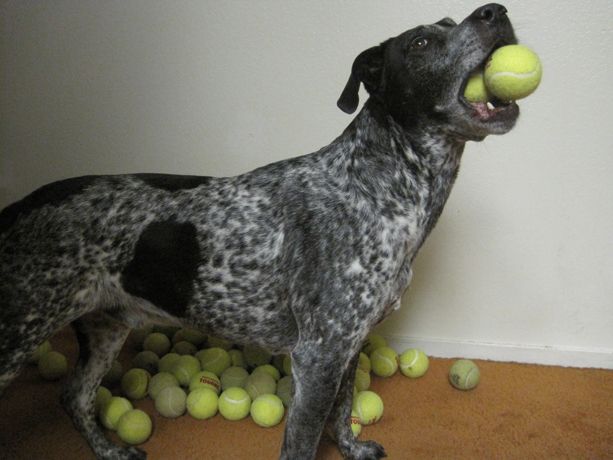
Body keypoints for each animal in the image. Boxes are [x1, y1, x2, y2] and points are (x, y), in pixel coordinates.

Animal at [0, 4, 519, 459]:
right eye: (421, 43)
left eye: (450, 22)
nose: (496, 11)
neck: (378, 185)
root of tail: (19, 205)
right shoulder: (317, 356)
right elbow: (302, 442)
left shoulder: (347, 345)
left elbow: (343, 411)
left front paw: (351, 448)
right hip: (17, 337)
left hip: (107, 325)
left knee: (74, 396)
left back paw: (109, 449)